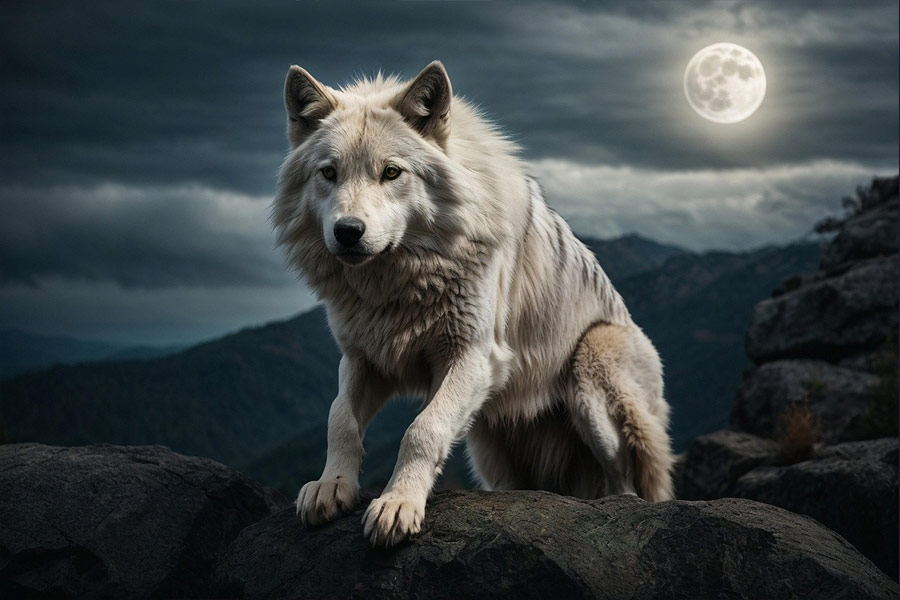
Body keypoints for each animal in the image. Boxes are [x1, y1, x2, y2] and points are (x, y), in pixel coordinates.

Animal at [273, 61, 675, 548]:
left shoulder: (474, 356)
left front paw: (397, 504)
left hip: (590, 367)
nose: (348, 231)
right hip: (489, 443)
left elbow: (422, 430)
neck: (401, 282)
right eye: (329, 173)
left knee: (624, 481)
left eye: (391, 173)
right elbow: (340, 420)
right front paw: (331, 486)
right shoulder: (362, 357)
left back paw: (617, 504)